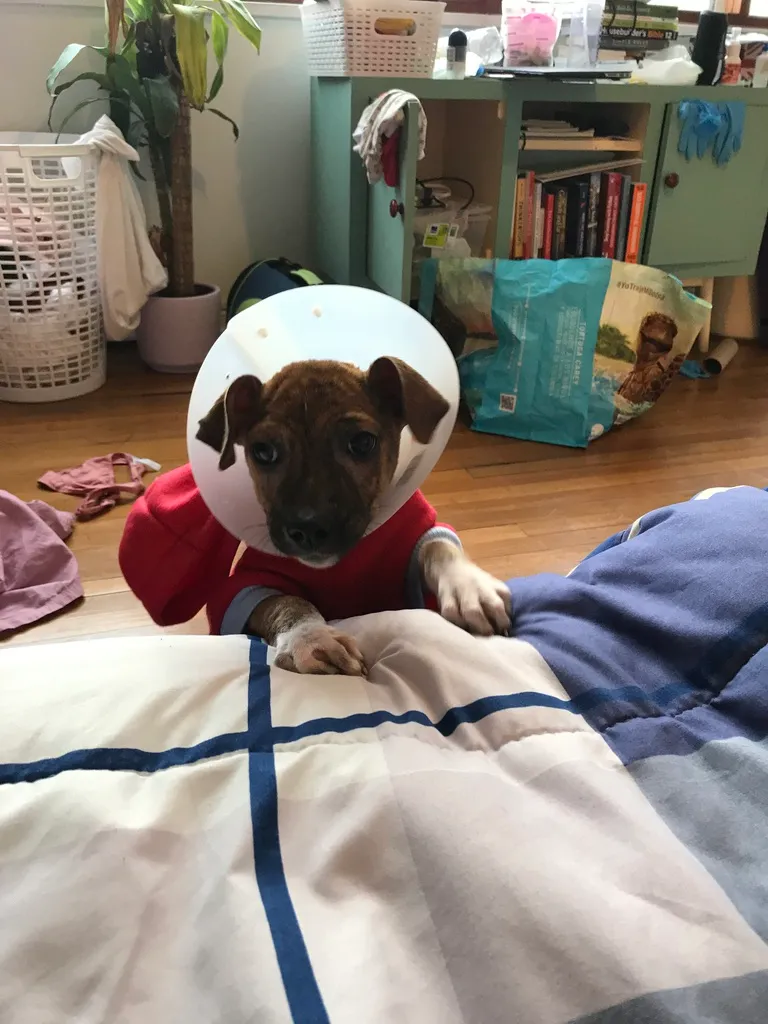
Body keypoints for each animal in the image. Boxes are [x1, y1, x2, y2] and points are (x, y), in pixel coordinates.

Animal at [195, 356, 511, 675]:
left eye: (362, 443)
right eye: (263, 451)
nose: (308, 530)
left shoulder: (415, 535)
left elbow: (437, 545)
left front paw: (469, 587)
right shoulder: (244, 583)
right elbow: (285, 601)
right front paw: (312, 637)